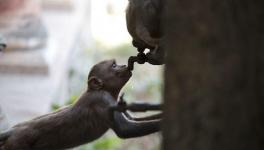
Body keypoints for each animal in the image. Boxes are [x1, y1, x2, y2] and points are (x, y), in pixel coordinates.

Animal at [0, 59, 161, 150]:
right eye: (114, 66)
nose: (125, 65)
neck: (103, 90)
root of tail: (13, 131)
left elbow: (134, 119)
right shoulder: (103, 100)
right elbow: (125, 129)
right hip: (17, 144)